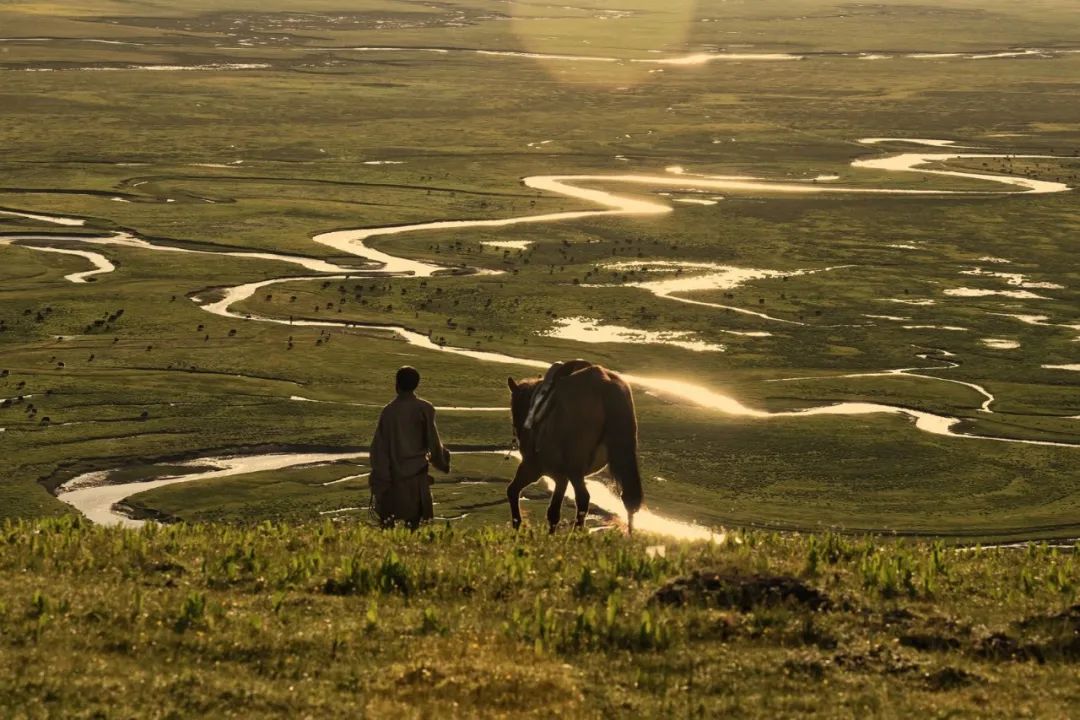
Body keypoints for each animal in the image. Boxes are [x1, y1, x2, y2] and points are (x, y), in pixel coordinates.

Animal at [505, 362, 639, 533]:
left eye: (514, 408)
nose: (518, 431)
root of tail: (605, 384)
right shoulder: (561, 477)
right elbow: (554, 512)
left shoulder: (534, 468)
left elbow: (513, 491)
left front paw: (518, 527)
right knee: (629, 500)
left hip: (574, 470)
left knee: (583, 499)